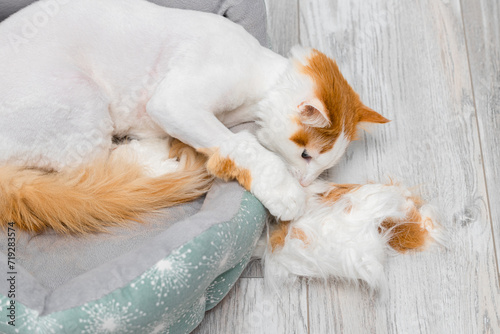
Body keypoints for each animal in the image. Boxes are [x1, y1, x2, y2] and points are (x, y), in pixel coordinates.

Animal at [0, 0, 386, 235]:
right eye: (305, 154)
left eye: (321, 167)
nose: (306, 182)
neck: (260, 74)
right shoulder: (174, 102)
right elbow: (243, 148)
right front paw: (287, 193)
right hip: (81, 104)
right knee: (92, 169)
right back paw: (159, 162)